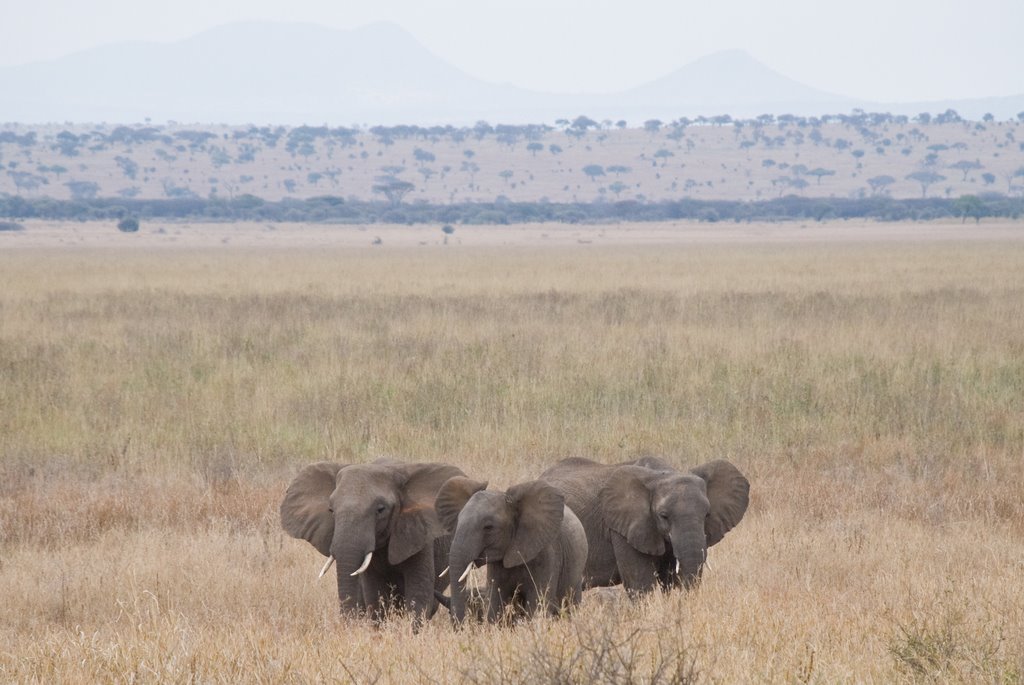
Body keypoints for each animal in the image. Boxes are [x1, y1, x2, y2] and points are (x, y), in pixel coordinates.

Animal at [434, 475, 593, 626]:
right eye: (458, 521)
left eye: (488, 527)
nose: (461, 626)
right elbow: (495, 602)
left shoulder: (547, 554)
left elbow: (537, 604)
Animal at [540, 456, 749, 593]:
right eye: (663, 516)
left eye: (707, 515)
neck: (661, 473)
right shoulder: (622, 527)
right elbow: (640, 582)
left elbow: (669, 580)